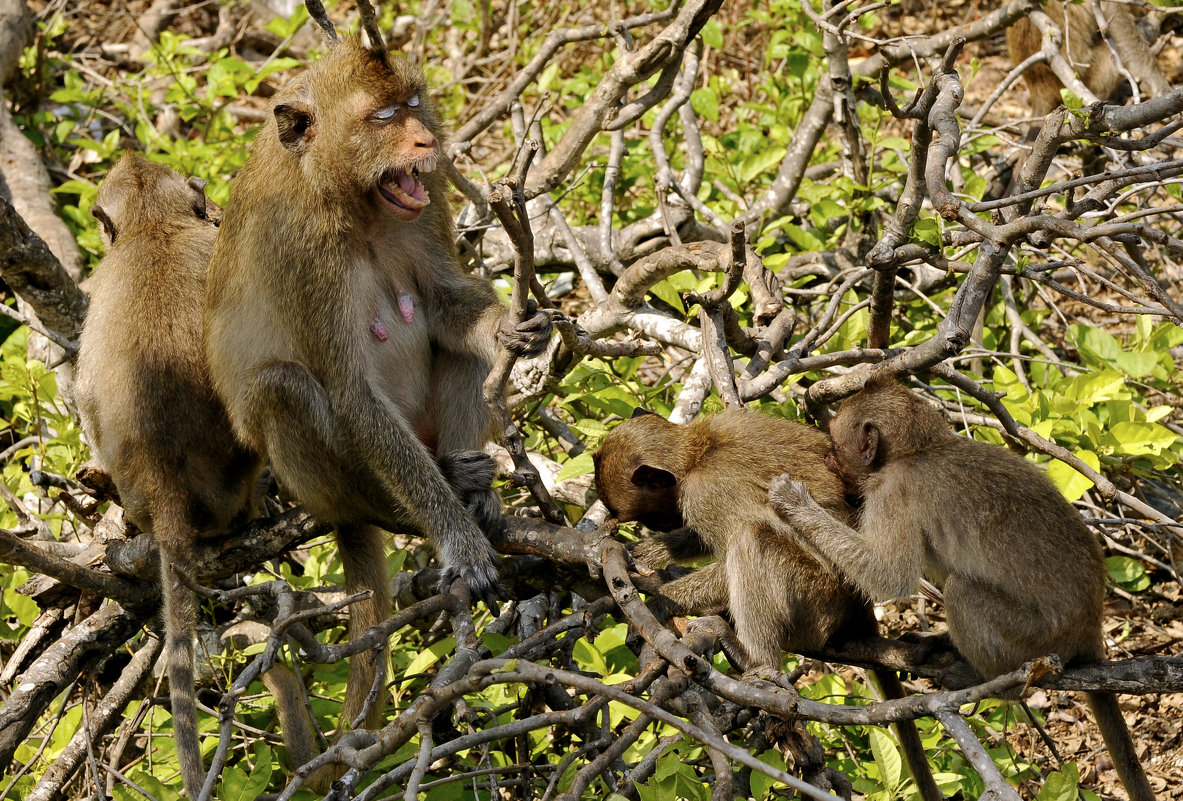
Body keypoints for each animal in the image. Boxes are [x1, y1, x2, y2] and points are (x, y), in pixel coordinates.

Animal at [202, 31, 548, 776]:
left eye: (413, 104)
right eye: (382, 117)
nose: (425, 141)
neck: (350, 202)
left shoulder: (431, 200)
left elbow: (447, 308)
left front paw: (512, 326)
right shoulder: (299, 246)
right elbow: (351, 393)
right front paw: (455, 536)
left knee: (454, 354)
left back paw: (468, 479)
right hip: (326, 483)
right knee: (283, 386)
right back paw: (403, 508)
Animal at [596, 409, 946, 799]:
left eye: (650, 516)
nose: (660, 524)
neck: (698, 451)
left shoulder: (706, 493)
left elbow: (729, 554)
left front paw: (657, 602)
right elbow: (698, 539)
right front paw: (640, 553)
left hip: (815, 604)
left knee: (751, 538)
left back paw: (753, 661)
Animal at [766, 378, 1154, 799]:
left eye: (836, 447)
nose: (827, 460)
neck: (920, 449)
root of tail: (1091, 627)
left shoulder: (892, 490)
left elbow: (887, 576)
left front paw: (795, 504)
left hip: (1039, 637)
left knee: (961, 591)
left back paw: (990, 680)